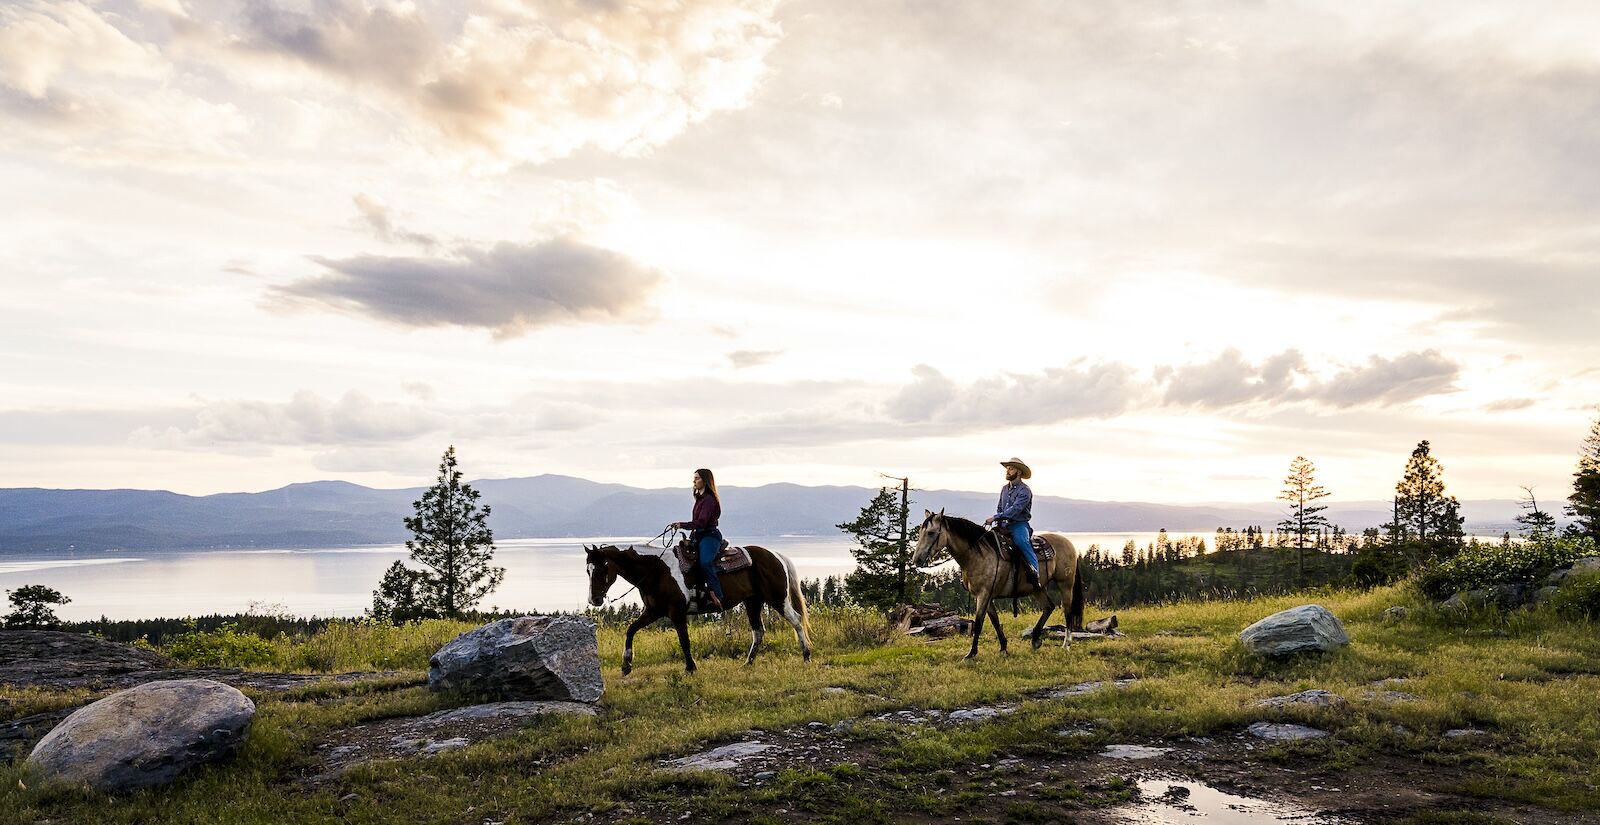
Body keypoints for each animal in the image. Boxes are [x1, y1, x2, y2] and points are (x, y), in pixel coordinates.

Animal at [585, 537, 812, 674]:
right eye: (588, 570)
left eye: (601, 569)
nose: (594, 600)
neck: (657, 570)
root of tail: (776, 555)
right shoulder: (654, 611)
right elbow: (631, 630)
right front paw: (626, 665)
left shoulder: (676, 612)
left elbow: (684, 640)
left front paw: (691, 667)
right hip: (752, 601)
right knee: (758, 631)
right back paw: (748, 663)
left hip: (777, 598)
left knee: (796, 621)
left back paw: (806, 656)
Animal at [915, 508, 1088, 658]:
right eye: (920, 532)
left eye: (931, 533)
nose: (917, 559)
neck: (978, 554)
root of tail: (1069, 543)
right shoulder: (987, 595)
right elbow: (995, 621)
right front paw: (1004, 647)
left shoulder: (984, 594)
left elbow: (979, 623)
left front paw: (971, 653)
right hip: (1037, 588)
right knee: (1049, 607)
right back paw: (1035, 639)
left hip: (1065, 584)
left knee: (1067, 611)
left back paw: (1066, 644)